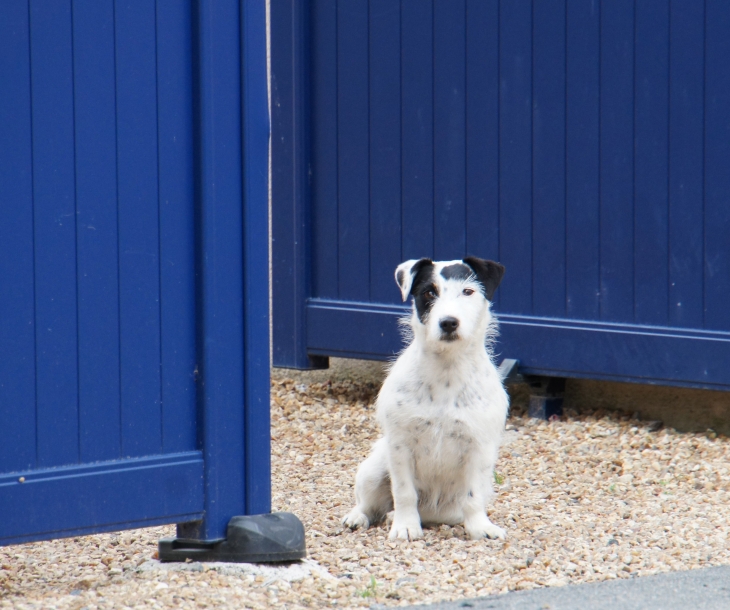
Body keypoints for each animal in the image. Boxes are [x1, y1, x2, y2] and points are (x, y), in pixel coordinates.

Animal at [342, 255, 506, 536]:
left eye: (468, 291)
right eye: (429, 292)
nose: (448, 322)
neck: (446, 373)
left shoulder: (480, 447)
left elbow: (473, 497)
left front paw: (480, 527)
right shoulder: (400, 446)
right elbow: (404, 492)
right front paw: (406, 527)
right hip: (375, 469)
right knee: (369, 504)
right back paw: (360, 517)